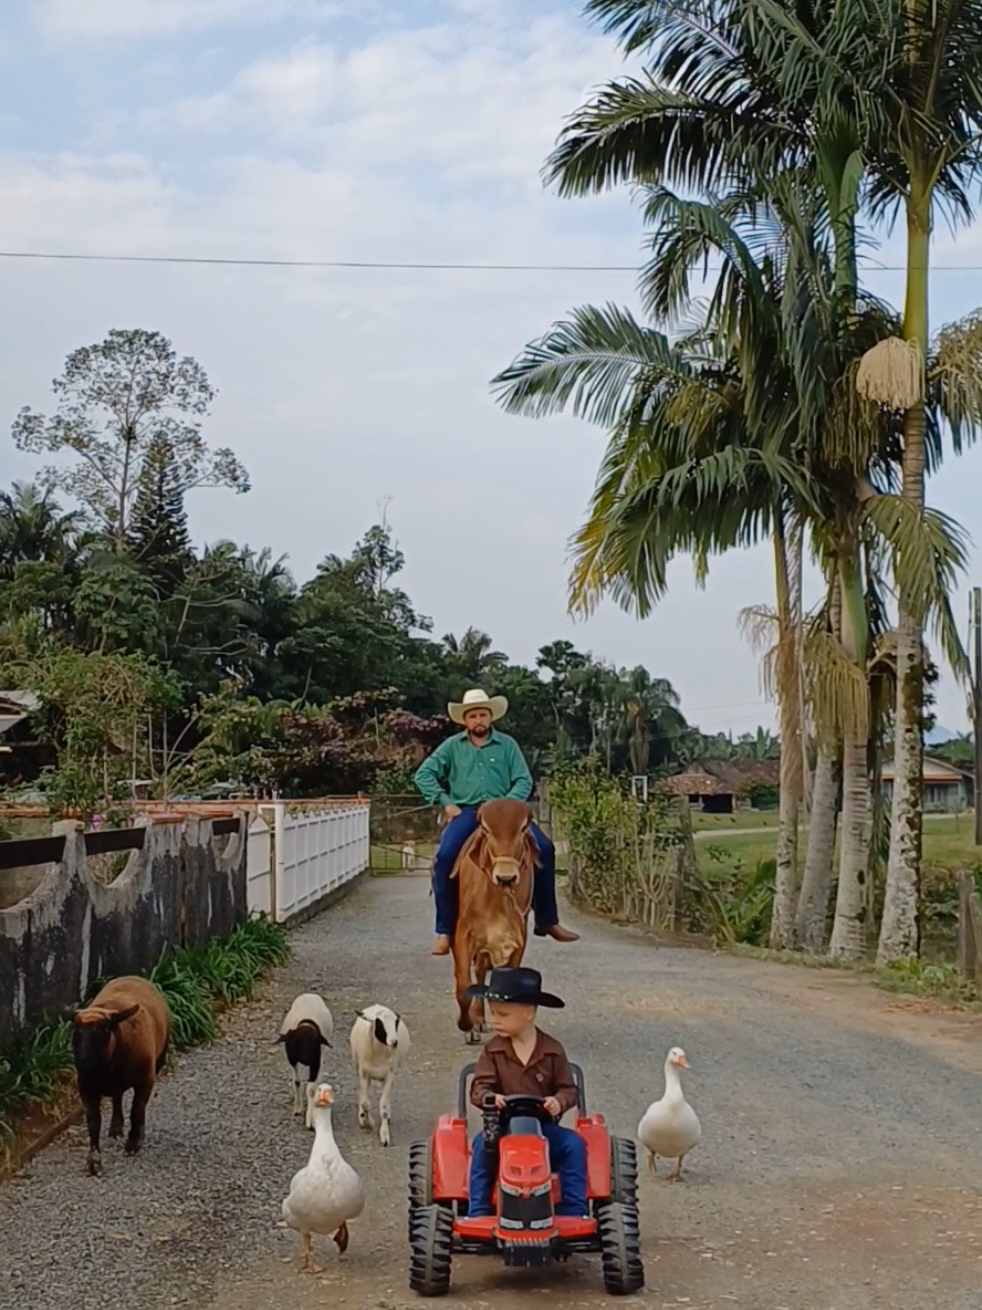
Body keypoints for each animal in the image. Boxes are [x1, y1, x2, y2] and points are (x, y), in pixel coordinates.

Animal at [71, 974, 172, 1179]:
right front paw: (94, 1162)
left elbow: (137, 1109)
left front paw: (133, 1143)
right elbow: (93, 1122)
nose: (83, 1063)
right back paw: (116, 1127)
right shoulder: (86, 1085)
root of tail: (133, 976)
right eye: (76, 1032)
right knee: (117, 1097)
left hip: (159, 1060)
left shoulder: (146, 1079)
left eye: (104, 1031)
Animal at [350, 1000, 411, 1147]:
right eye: (379, 1023)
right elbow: (366, 1102)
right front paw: (369, 1123)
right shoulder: (363, 1072)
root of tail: (377, 1006)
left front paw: (384, 1135)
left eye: (396, 1022)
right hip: (358, 1066)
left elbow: (382, 1105)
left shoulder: (390, 1074)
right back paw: (362, 1117)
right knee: (362, 1093)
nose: (394, 1042)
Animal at [453, 791, 539, 1037]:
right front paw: (466, 1025)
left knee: (482, 972)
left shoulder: (518, 937)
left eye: (523, 828)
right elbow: (463, 985)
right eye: (486, 829)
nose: (506, 877)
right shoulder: (463, 934)